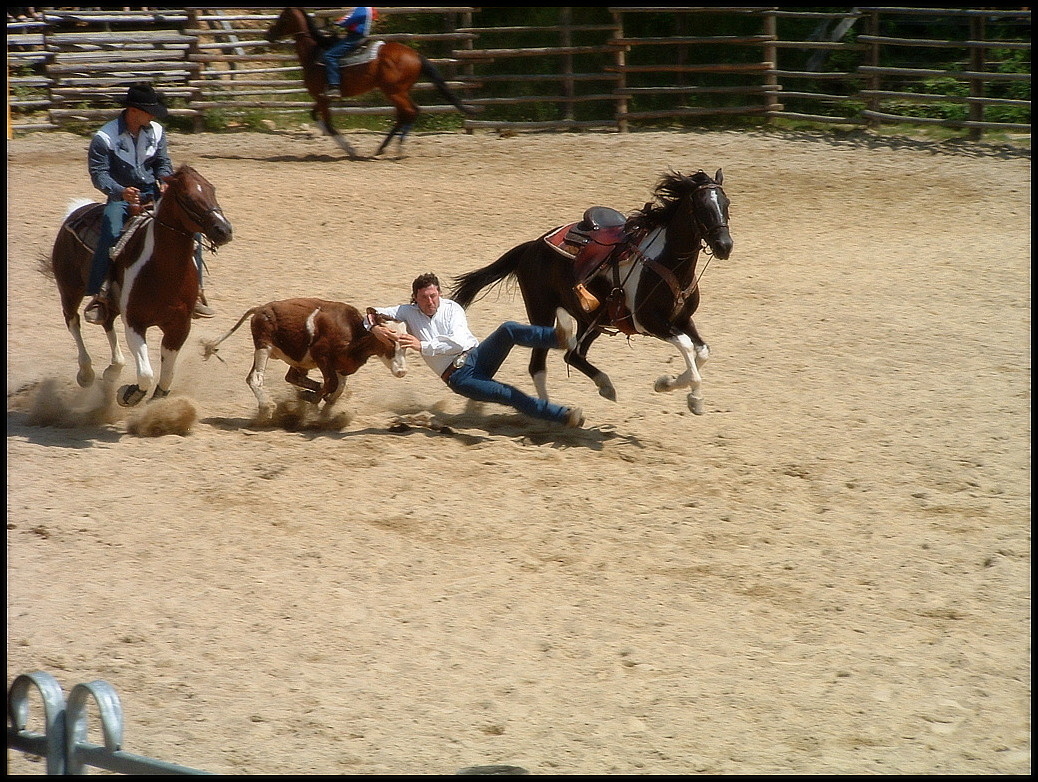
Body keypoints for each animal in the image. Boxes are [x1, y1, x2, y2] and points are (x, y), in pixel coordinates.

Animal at [48, 166, 233, 409]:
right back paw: (86, 373)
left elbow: (167, 374)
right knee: (73, 321)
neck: (164, 272)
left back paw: (114, 369)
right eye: (188, 197)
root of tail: (77, 211)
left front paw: (158, 400)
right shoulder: (135, 322)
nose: (224, 230)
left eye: (212, 189)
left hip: (109, 302)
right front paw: (130, 394)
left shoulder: (179, 326)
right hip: (69, 289)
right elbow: (146, 374)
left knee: (106, 320)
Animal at [265, 7, 479, 159]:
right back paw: (382, 148)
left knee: (410, 112)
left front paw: (351, 150)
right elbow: (315, 116)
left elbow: (329, 124)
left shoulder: (323, 98)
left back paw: (397, 149)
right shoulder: (322, 98)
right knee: (405, 114)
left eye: (282, 18)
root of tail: (415, 55)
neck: (314, 54)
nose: (269, 35)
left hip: (394, 92)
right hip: (397, 91)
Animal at [450, 169, 734, 415]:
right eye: (703, 207)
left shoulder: (682, 319)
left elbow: (703, 351)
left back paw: (605, 386)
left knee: (573, 355)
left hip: (592, 320)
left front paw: (667, 383)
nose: (725, 246)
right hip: (541, 310)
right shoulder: (650, 321)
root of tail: (531, 247)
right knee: (538, 365)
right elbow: (686, 345)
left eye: (726, 203)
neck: (669, 263)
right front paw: (694, 397)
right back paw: (546, 411)